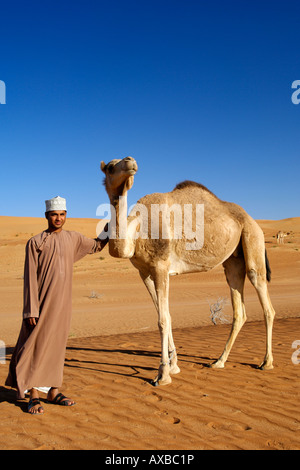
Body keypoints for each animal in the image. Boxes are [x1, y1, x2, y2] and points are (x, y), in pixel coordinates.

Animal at [99, 156, 276, 384]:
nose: (131, 161)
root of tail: (252, 219)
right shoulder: (144, 272)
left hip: (252, 238)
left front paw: (163, 374)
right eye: (111, 167)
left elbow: (163, 320)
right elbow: (165, 314)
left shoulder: (161, 266)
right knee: (239, 310)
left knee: (265, 300)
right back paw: (219, 361)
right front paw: (174, 366)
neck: (137, 231)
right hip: (234, 261)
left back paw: (266, 362)